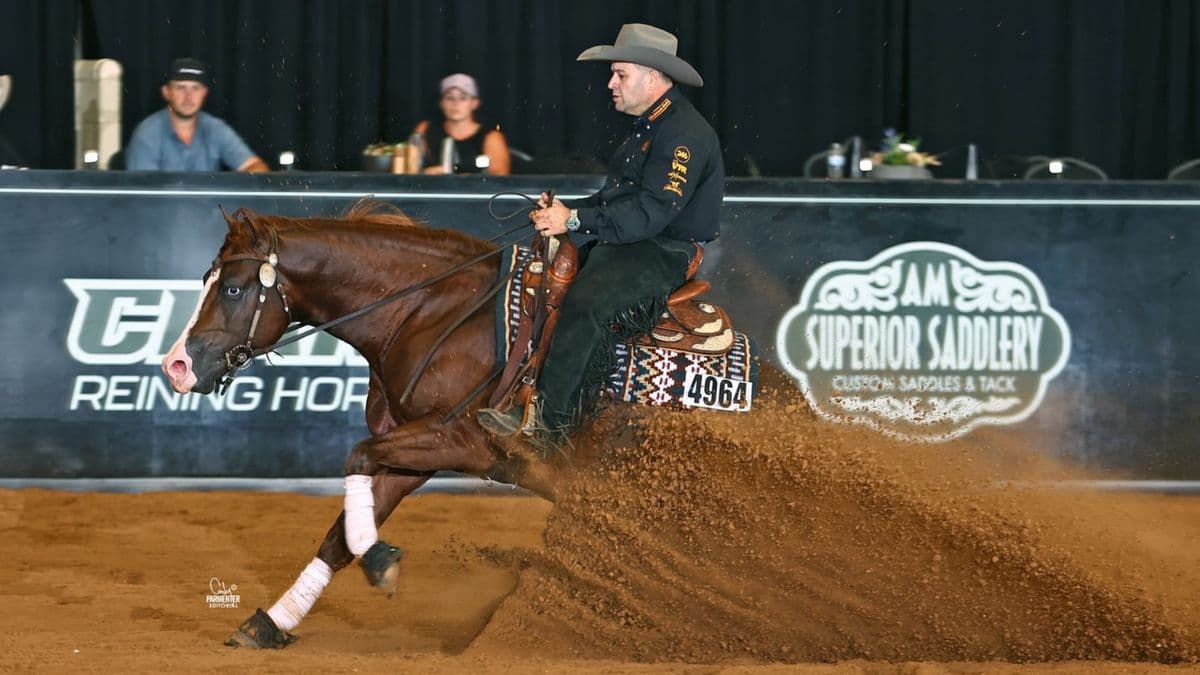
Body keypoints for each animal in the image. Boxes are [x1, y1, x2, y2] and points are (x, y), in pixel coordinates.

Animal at [161, 201, 565, 648]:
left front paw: (377, 558)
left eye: (232, 288)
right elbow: (338, 538)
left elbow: (358, 456)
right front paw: (270, 622)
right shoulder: (415, 455)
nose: (175, 366)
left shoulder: (464, 440)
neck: (435, 314)